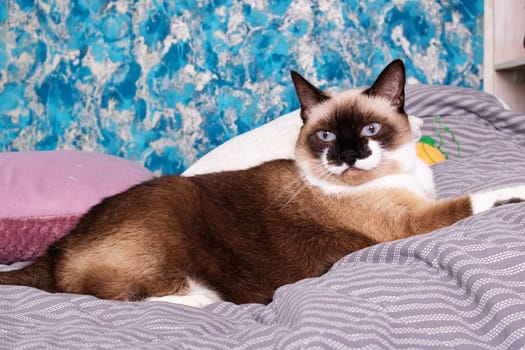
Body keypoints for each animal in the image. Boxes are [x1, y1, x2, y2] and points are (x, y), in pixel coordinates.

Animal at [1, 59, 524, 306]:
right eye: (327, 136)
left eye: (371, 130)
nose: (347, 156)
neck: (400, 175)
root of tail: (57, 249)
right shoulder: (411, 224)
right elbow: (474, 199)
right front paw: (513, 189)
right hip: (170, 219)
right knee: (117, 294)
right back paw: (202, 302)